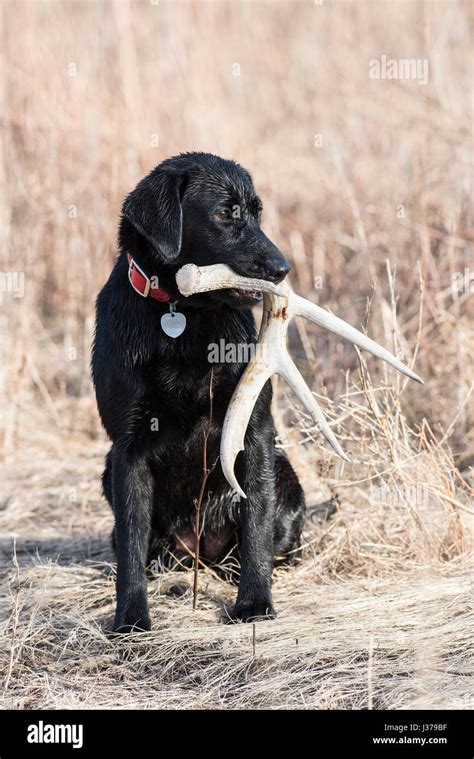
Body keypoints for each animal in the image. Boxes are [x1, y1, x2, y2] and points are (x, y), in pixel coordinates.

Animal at [93, 151, 304, 632]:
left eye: (257, 212)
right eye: (226, 213)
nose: (282, 270)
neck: (182, 313)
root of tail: (198, 553)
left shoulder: (255, 430)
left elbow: (256, 524)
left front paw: (254, 603)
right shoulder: (127, 448)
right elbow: (130, 544)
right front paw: (130, 618)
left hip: (287, 481)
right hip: (109, 473)